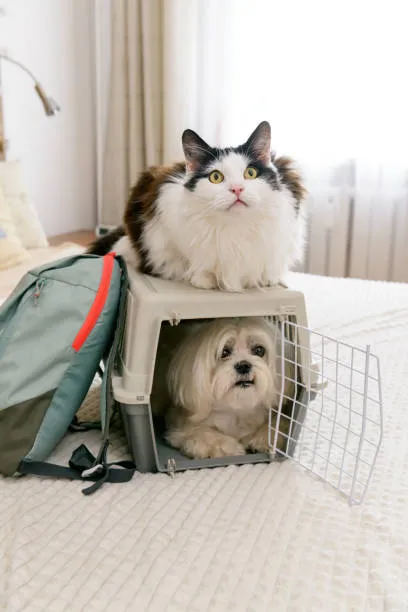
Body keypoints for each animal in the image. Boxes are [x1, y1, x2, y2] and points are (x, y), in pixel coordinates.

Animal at [88, 122, 306, 292]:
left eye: (250, 173)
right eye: (216, 177)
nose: (237, 189)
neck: (235, 227)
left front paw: (267, 278)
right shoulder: (160, 225)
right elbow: (183, 260)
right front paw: (203, 279)